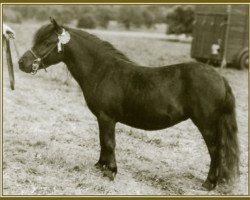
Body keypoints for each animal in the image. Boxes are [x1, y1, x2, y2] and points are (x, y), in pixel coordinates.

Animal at [18, 18, 239, 190]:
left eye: (48, 41)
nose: (21, 63)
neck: (102, 71)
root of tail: (220, 77)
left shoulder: (107, 118)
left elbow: (109, 143)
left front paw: (111, 172)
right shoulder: (102, 119)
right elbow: (102, 142)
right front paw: (100, 166)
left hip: (206, 124)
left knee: (215, 150)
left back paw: (209, 183)